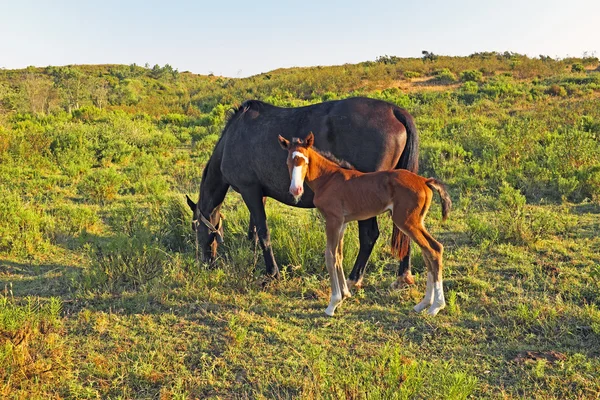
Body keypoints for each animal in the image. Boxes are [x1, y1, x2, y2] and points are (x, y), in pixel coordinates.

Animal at [186, 97, 418, 286]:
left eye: (196, 228)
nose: (205, 263)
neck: (231, 139)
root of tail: (394, 110)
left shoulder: (249, 190)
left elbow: (263, 231)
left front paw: (272, 273)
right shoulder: (259, 194)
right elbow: (254, 231)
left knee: (369, 235)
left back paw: (354, 278)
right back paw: (403, 275)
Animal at [278, 133, 452, 318]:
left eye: (305, 161)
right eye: (288, 162)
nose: (295, 190)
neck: (328, 179)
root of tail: (425, 180)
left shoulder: (333, 220)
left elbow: (330, 256)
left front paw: (333, 304)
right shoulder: (342, 222)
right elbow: (339, 255)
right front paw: (345, 295)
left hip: (406, 221)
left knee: (434, 249)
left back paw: (436, 306)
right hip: (417, 222)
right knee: (429, 251)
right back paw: (424, 304)